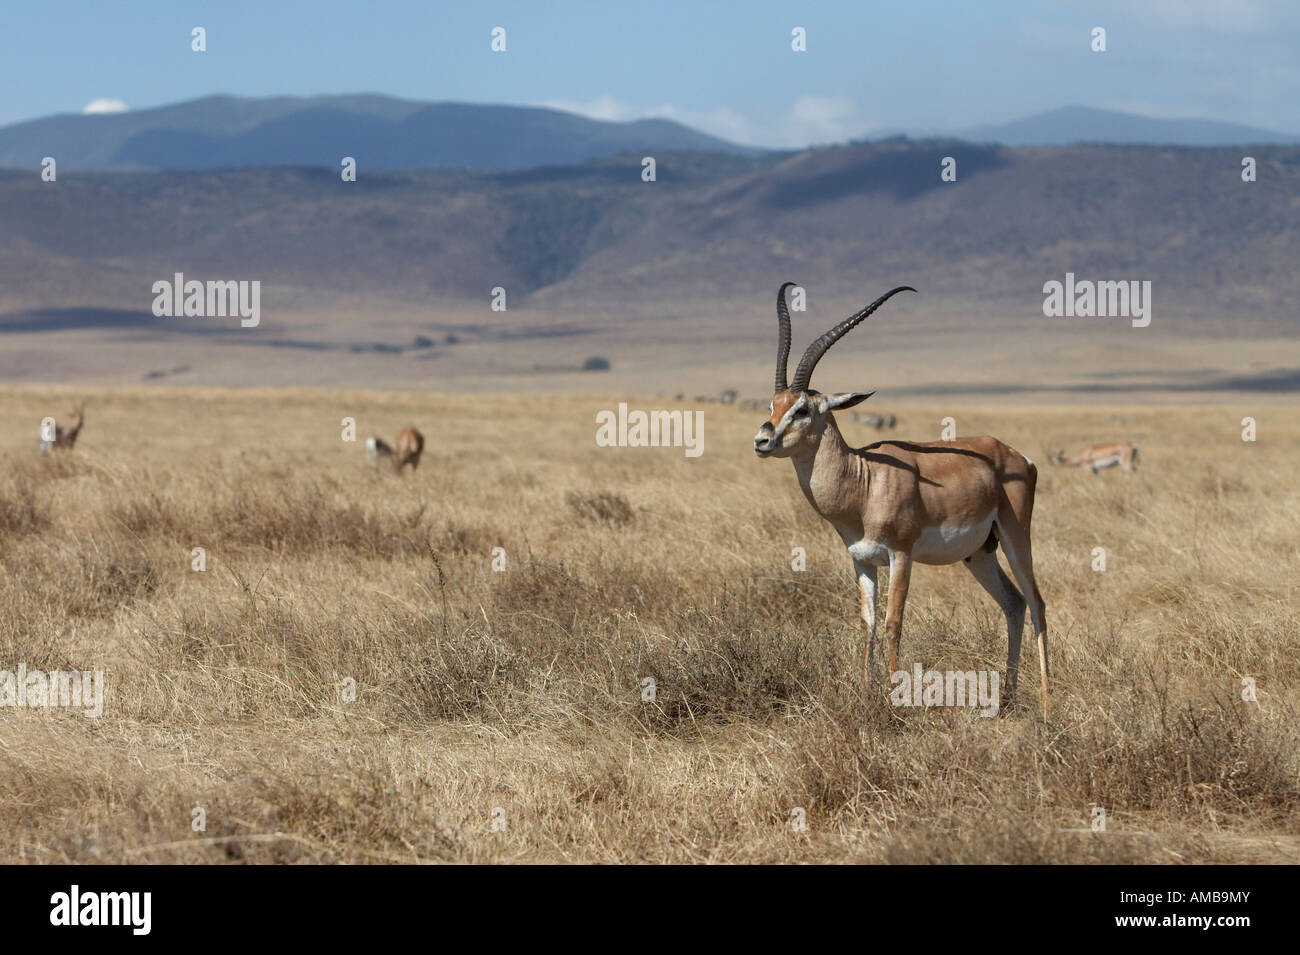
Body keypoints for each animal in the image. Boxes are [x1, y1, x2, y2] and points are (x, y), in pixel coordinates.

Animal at [753, 283, 1049, 712]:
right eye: (773, 405)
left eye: (803, 408)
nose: (762, 440)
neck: (864, 482)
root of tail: (1017, 455)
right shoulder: (862, 560)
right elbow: (868, 624)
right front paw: (864, 695)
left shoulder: (901, 555)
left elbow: (894, 623)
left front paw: (894, 703)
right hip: (980, 553)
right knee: (1014, 603)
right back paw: (1006, 698)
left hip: (1015, 538)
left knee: (1037, 602)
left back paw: (1045, 701)